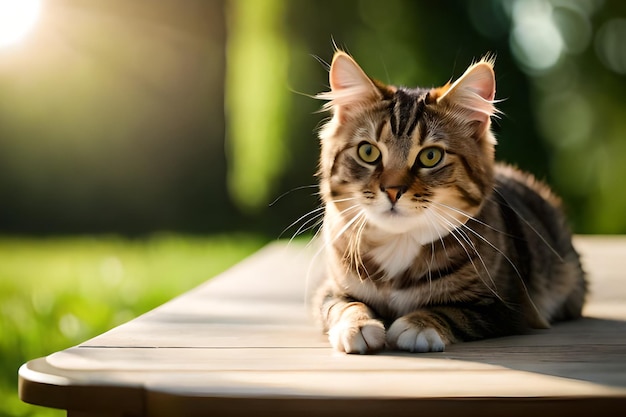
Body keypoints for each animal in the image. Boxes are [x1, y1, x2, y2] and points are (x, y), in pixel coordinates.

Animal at [312, 50, 584, 352]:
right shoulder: (329, 289)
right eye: (368, 152)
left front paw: (419, 324)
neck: (399, 243)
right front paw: (358, 325)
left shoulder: (505, 307)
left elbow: (450, 310)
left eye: (430, 156)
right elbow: (345, 305)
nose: (392, 190)